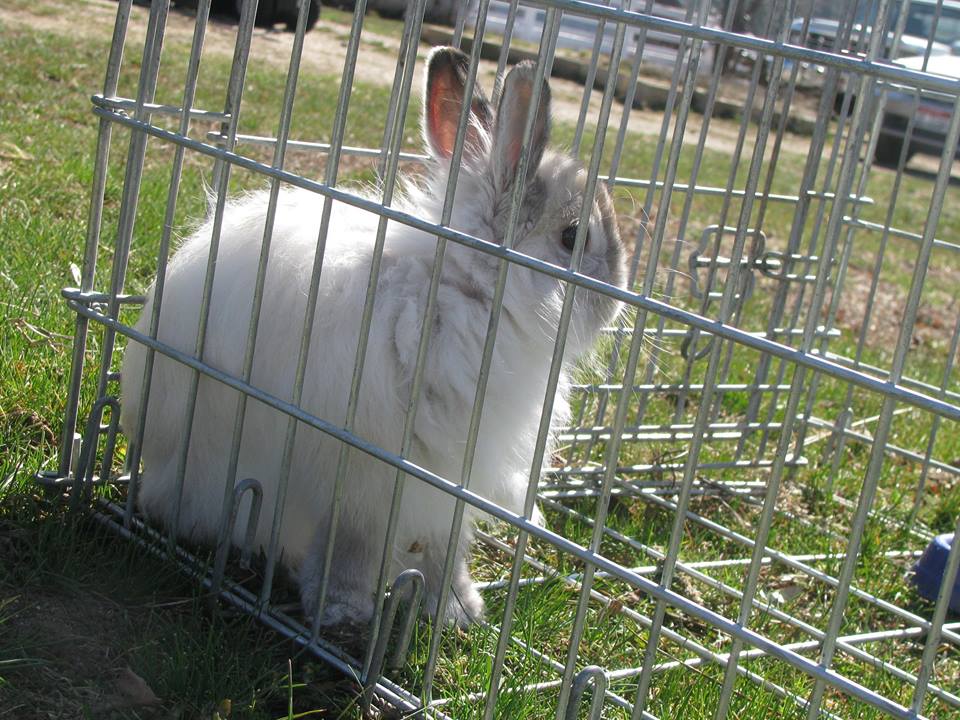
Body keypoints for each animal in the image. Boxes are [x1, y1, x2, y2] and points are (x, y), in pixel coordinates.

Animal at [120, 46, 627, 628]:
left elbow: (443, 551)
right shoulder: (363, 468)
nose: (616, 298)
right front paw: (342, 608)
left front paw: (458, 610)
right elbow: (352, 545)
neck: (466, 288)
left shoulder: (446, 485)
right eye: (573, 237)